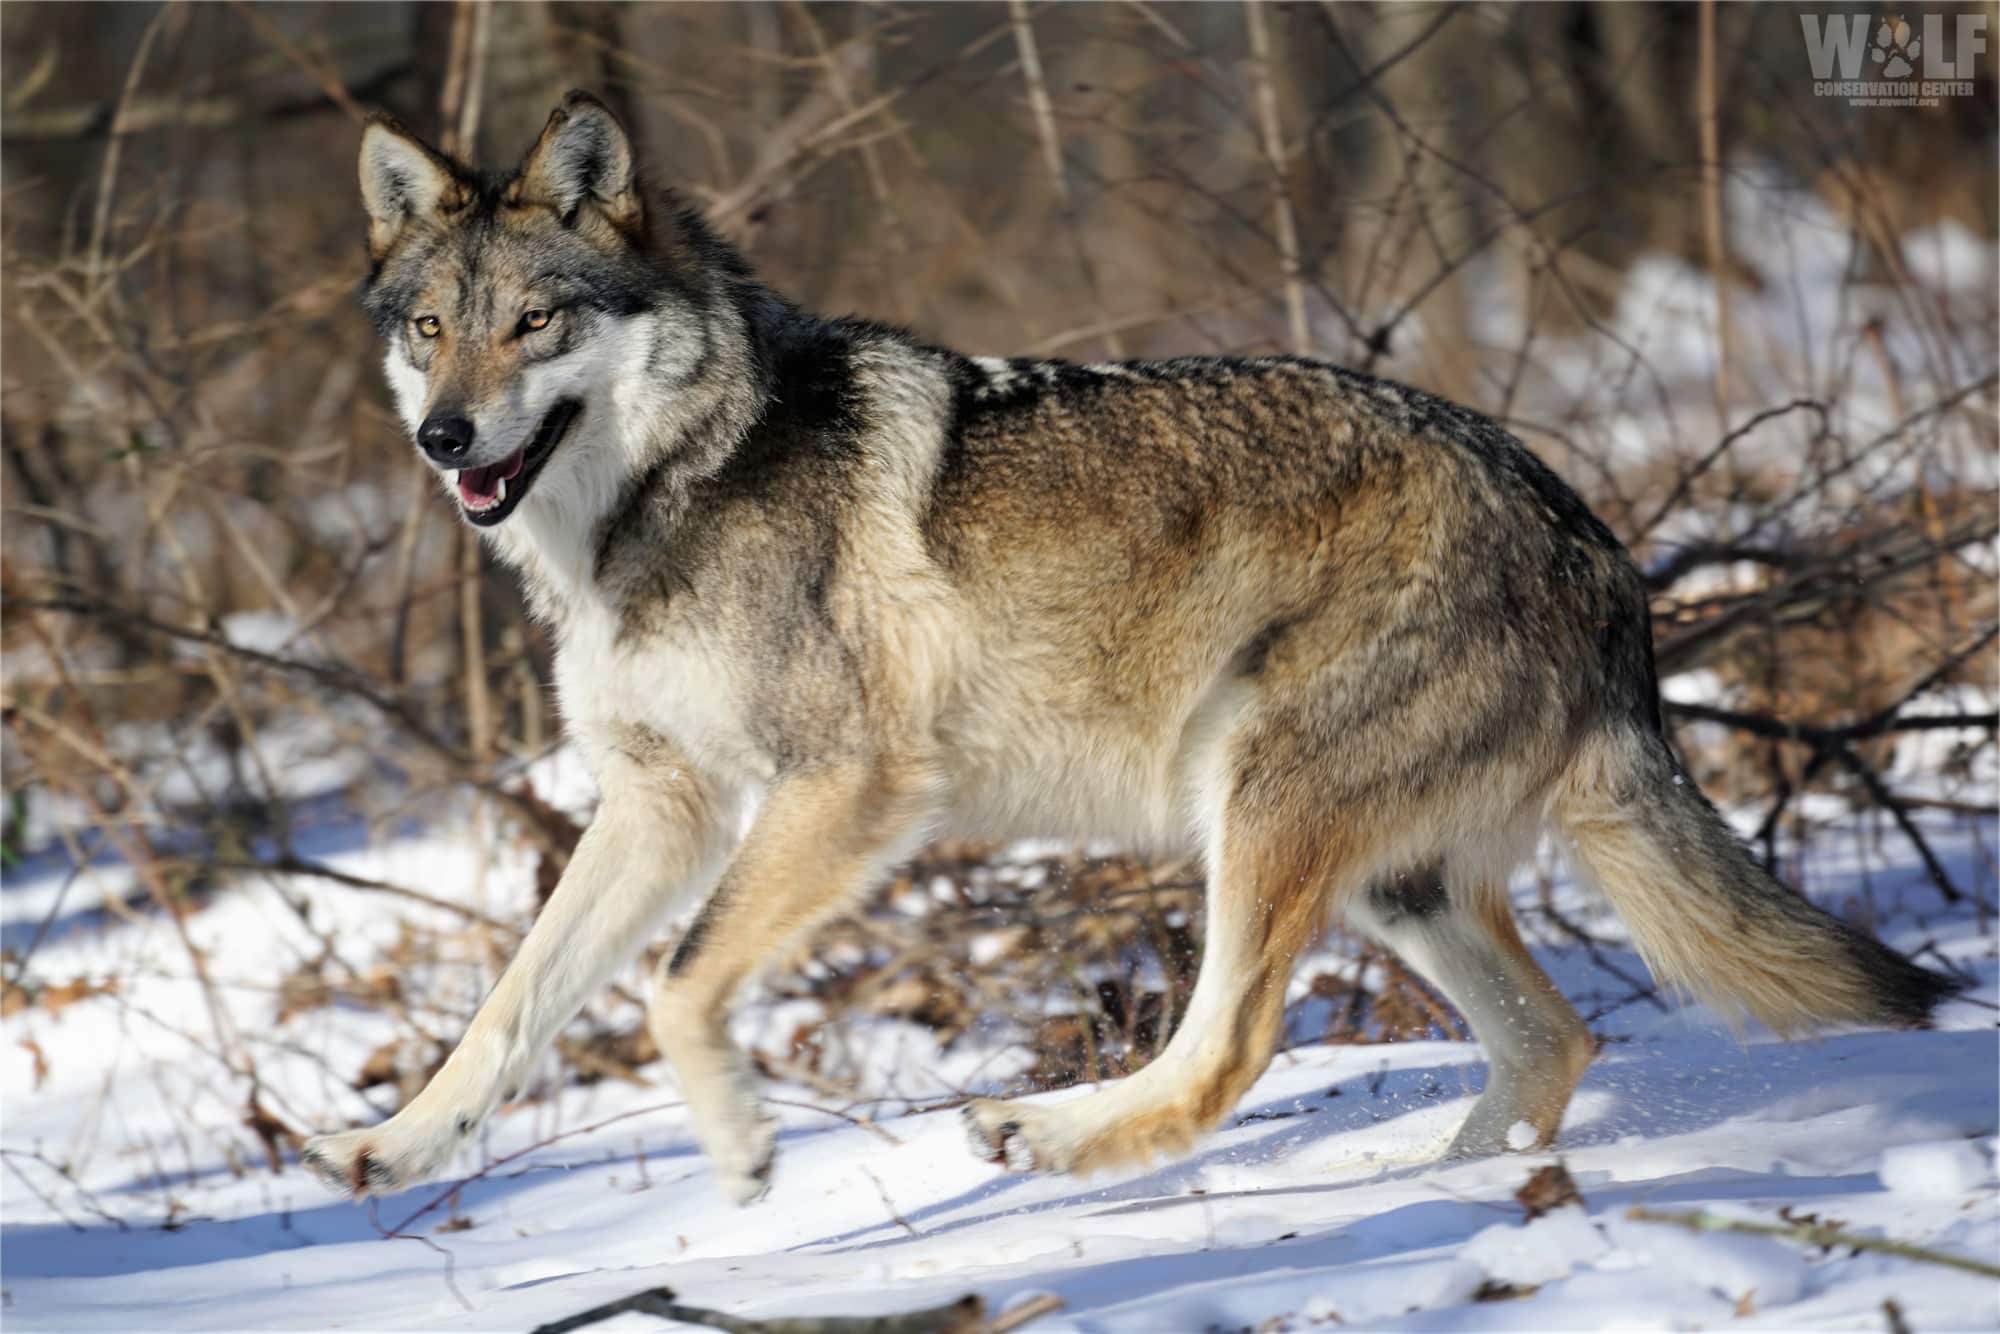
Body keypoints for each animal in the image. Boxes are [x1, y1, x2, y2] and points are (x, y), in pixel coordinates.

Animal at [304, 88, 1960, 1208]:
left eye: (534, 322)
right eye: (430, 327)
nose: (447, 437)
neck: (659, 496)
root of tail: (1604, 554)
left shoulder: (845, 789)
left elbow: (674, 987)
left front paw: (746, 1150)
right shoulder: (662, 804)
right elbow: (514, 1003)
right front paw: (390, 1138)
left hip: (1253, 802)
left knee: (1233, 1041)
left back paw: (1054, 1133)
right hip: (1388, 878)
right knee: (1547, 1039)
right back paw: (1435, 1186)